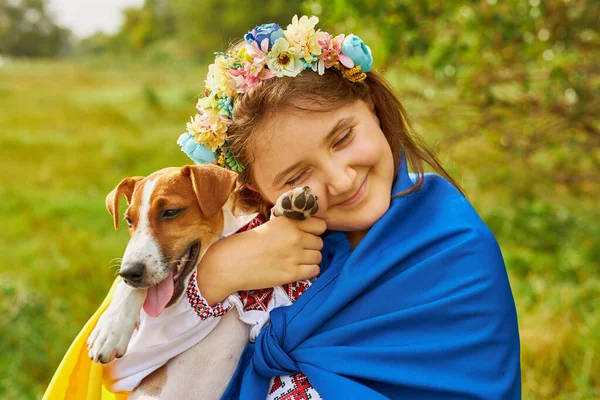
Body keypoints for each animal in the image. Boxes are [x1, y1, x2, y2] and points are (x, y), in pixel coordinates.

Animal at [86, 164, 318, 398]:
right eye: (129, 221)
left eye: (171, 212)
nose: (129, 273)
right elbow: (127, 290)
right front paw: (110, 329)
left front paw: (288, 206)